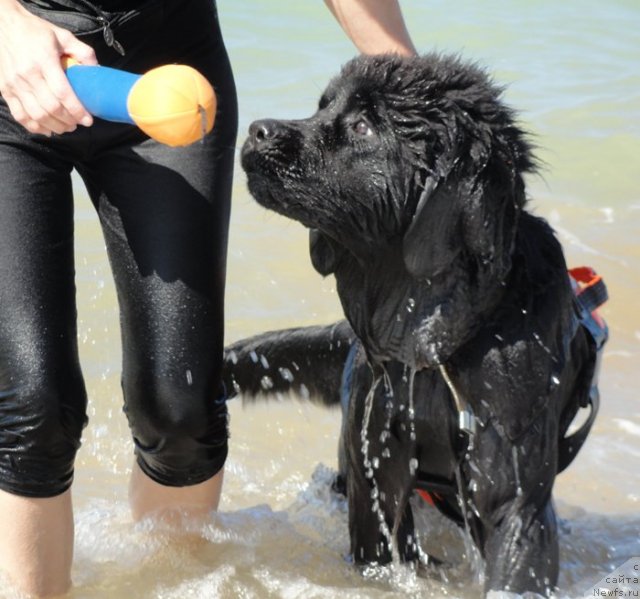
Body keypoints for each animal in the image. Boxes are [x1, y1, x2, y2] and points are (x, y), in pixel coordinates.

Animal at [225, 54, 608, 596]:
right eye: (323, 107)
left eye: (363, 126)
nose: (257, 130)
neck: (435, 341)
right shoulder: (375, 462)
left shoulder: (515, 492)